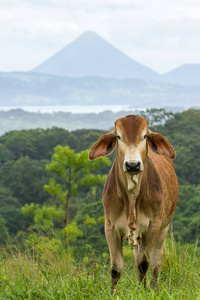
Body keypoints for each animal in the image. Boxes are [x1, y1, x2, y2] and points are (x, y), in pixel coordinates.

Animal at [89, 115, 178, 292]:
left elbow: (143, 264)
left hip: (163, 228)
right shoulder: (110, 227)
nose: (132, 165)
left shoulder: (153, 226)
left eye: (144, 136)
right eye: (118, 136)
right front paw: (113, 293)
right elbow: (116, 268)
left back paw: (153, 288)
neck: (131, 198)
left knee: (156, 260)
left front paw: (143, 291)